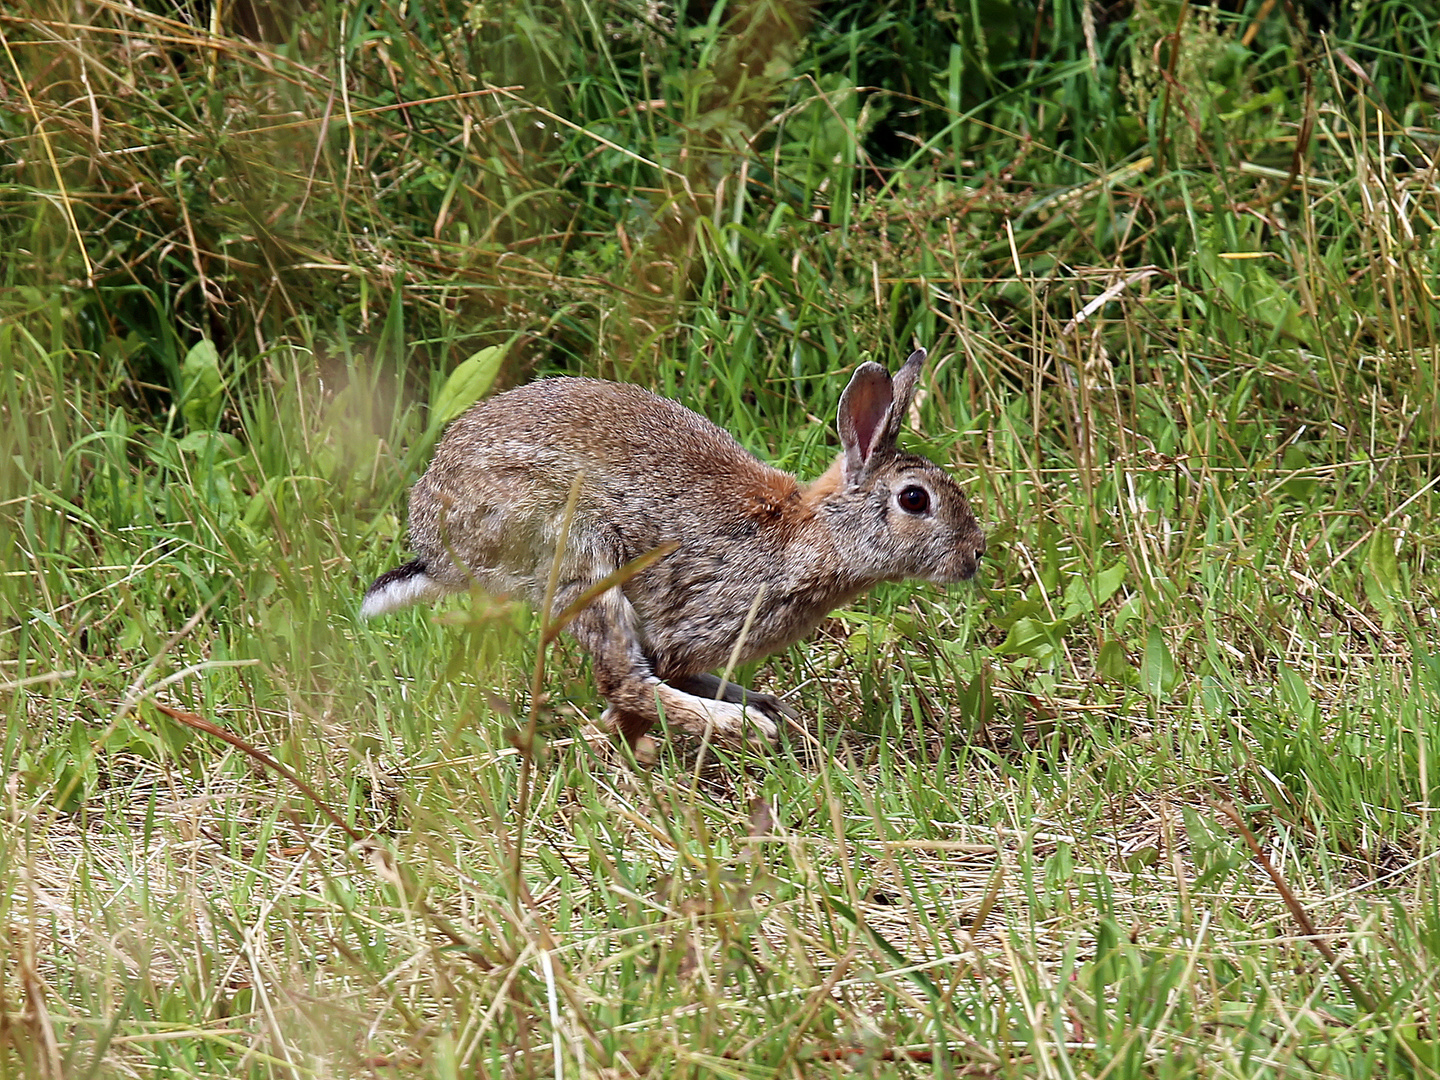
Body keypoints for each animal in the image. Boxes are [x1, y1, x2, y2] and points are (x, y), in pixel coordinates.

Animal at [365, 351, 984, 748]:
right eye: (914, 499)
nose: (975, 555)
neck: (807, 535)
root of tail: (435, 540)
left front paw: (771, 704)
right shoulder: (694, 618)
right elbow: (642, 683)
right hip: (578, 552)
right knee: (624, 677)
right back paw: (739, 726)